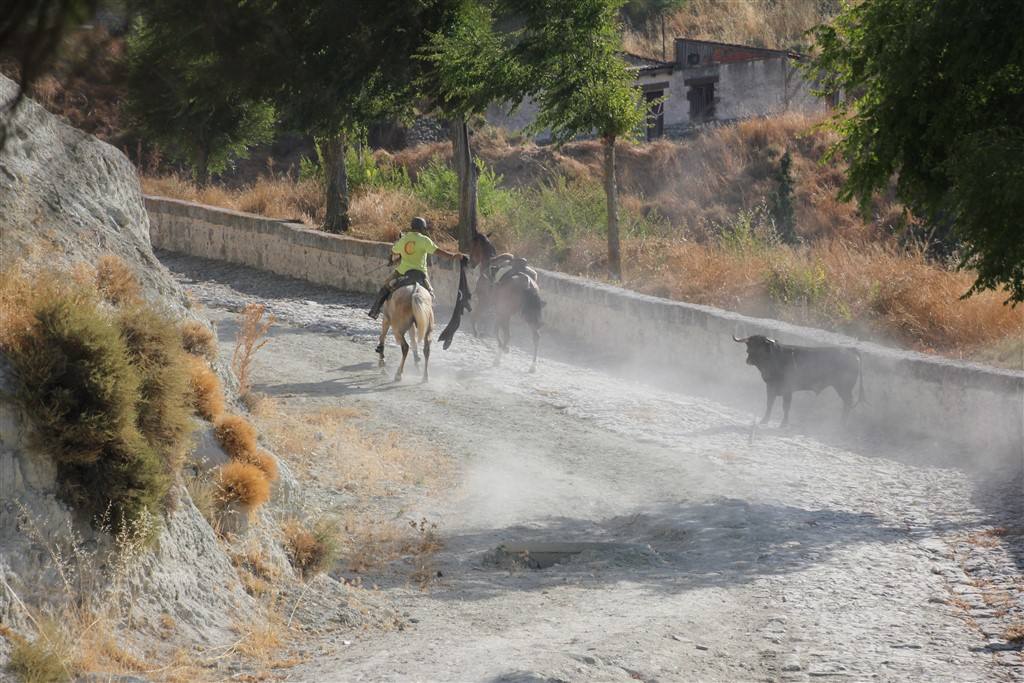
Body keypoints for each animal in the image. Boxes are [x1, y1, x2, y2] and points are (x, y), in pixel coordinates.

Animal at [733, 333, 868, 423]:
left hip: (844, 388)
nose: (748, 360)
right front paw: (764, 420)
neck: (776, 357)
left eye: (760, 346)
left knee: (848, 403)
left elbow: (786, 406)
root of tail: (850, 350)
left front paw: (783, 424)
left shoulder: (787, 390)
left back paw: (842, 423)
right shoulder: (770, 387)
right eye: (749, 345)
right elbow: (769, 404)